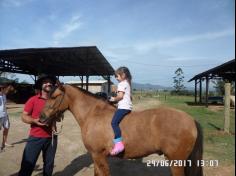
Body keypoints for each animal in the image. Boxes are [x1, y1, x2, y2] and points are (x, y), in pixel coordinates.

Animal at [40, 84, 203, 176]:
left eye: (54, 96)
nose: (41, 117)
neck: (93, 114)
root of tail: (191, 120)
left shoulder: (98, 155)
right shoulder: (96, 156)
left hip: (176, 162)